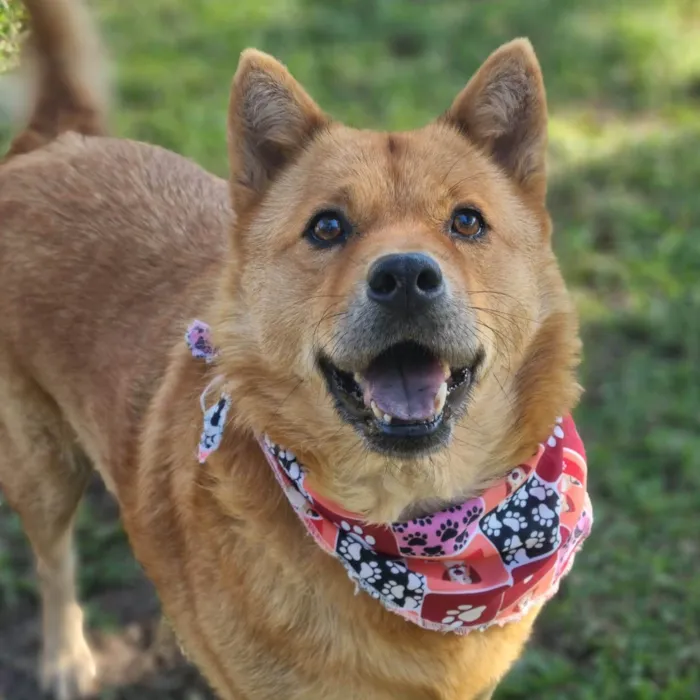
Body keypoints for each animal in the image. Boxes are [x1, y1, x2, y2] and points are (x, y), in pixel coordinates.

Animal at [0, 1, 592, 700]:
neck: (415, 526)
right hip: (39, 467)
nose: (405, 277)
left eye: (467, 221)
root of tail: (60, 140)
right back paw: (66, 657)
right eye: (327, 226)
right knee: (53, 560)